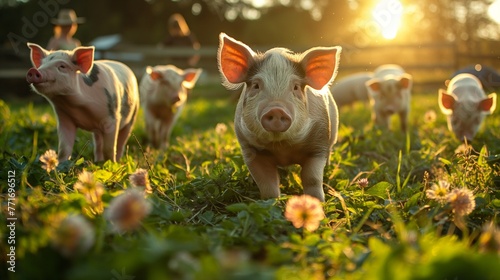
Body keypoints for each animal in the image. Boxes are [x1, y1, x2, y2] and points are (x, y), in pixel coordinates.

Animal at [217, 32, 342, 201]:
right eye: (256, 85)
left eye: (295, 87)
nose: (276, 110)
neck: (282, 147)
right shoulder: (250, 150)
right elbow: (266, 183)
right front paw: (272, 202)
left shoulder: (318, 145)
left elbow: (312, 179)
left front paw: (318, 203)